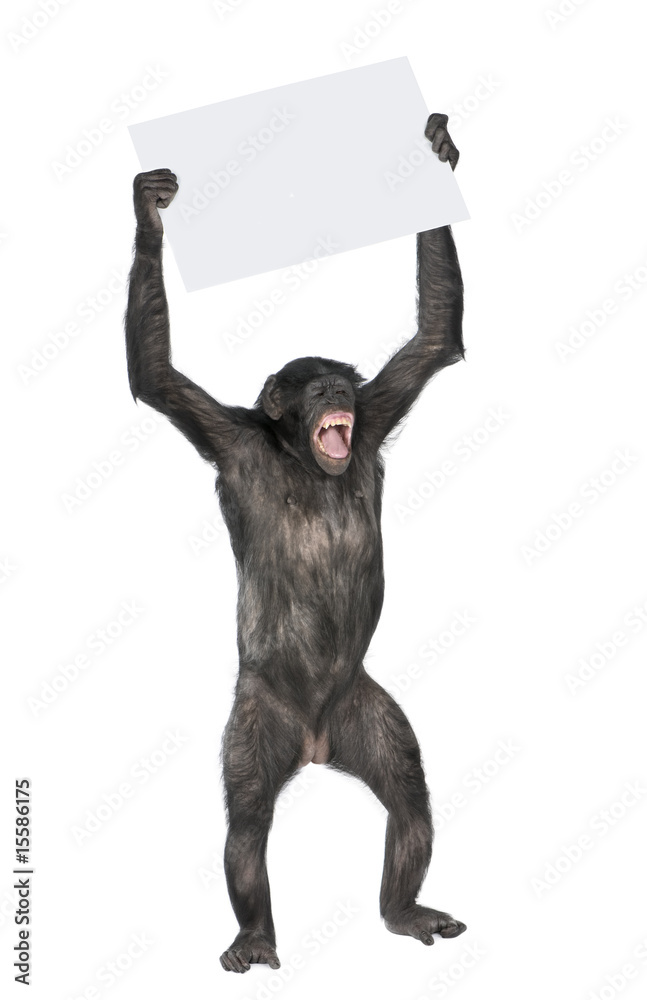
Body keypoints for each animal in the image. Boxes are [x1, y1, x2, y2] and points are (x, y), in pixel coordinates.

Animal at [125, 113, 466, 973]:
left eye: (343, 384)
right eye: (315, 388)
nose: (337, 393)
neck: (300, 455)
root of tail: (315, 743)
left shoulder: (378, 412)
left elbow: (432, 338)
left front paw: (437, 156)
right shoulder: (226, 435)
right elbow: (157, 376)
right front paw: (150, 214)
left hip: (364, 712)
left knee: (408, 798)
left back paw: (402, 910)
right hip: (260, 719)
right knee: (246, 825)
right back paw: (253, 933)